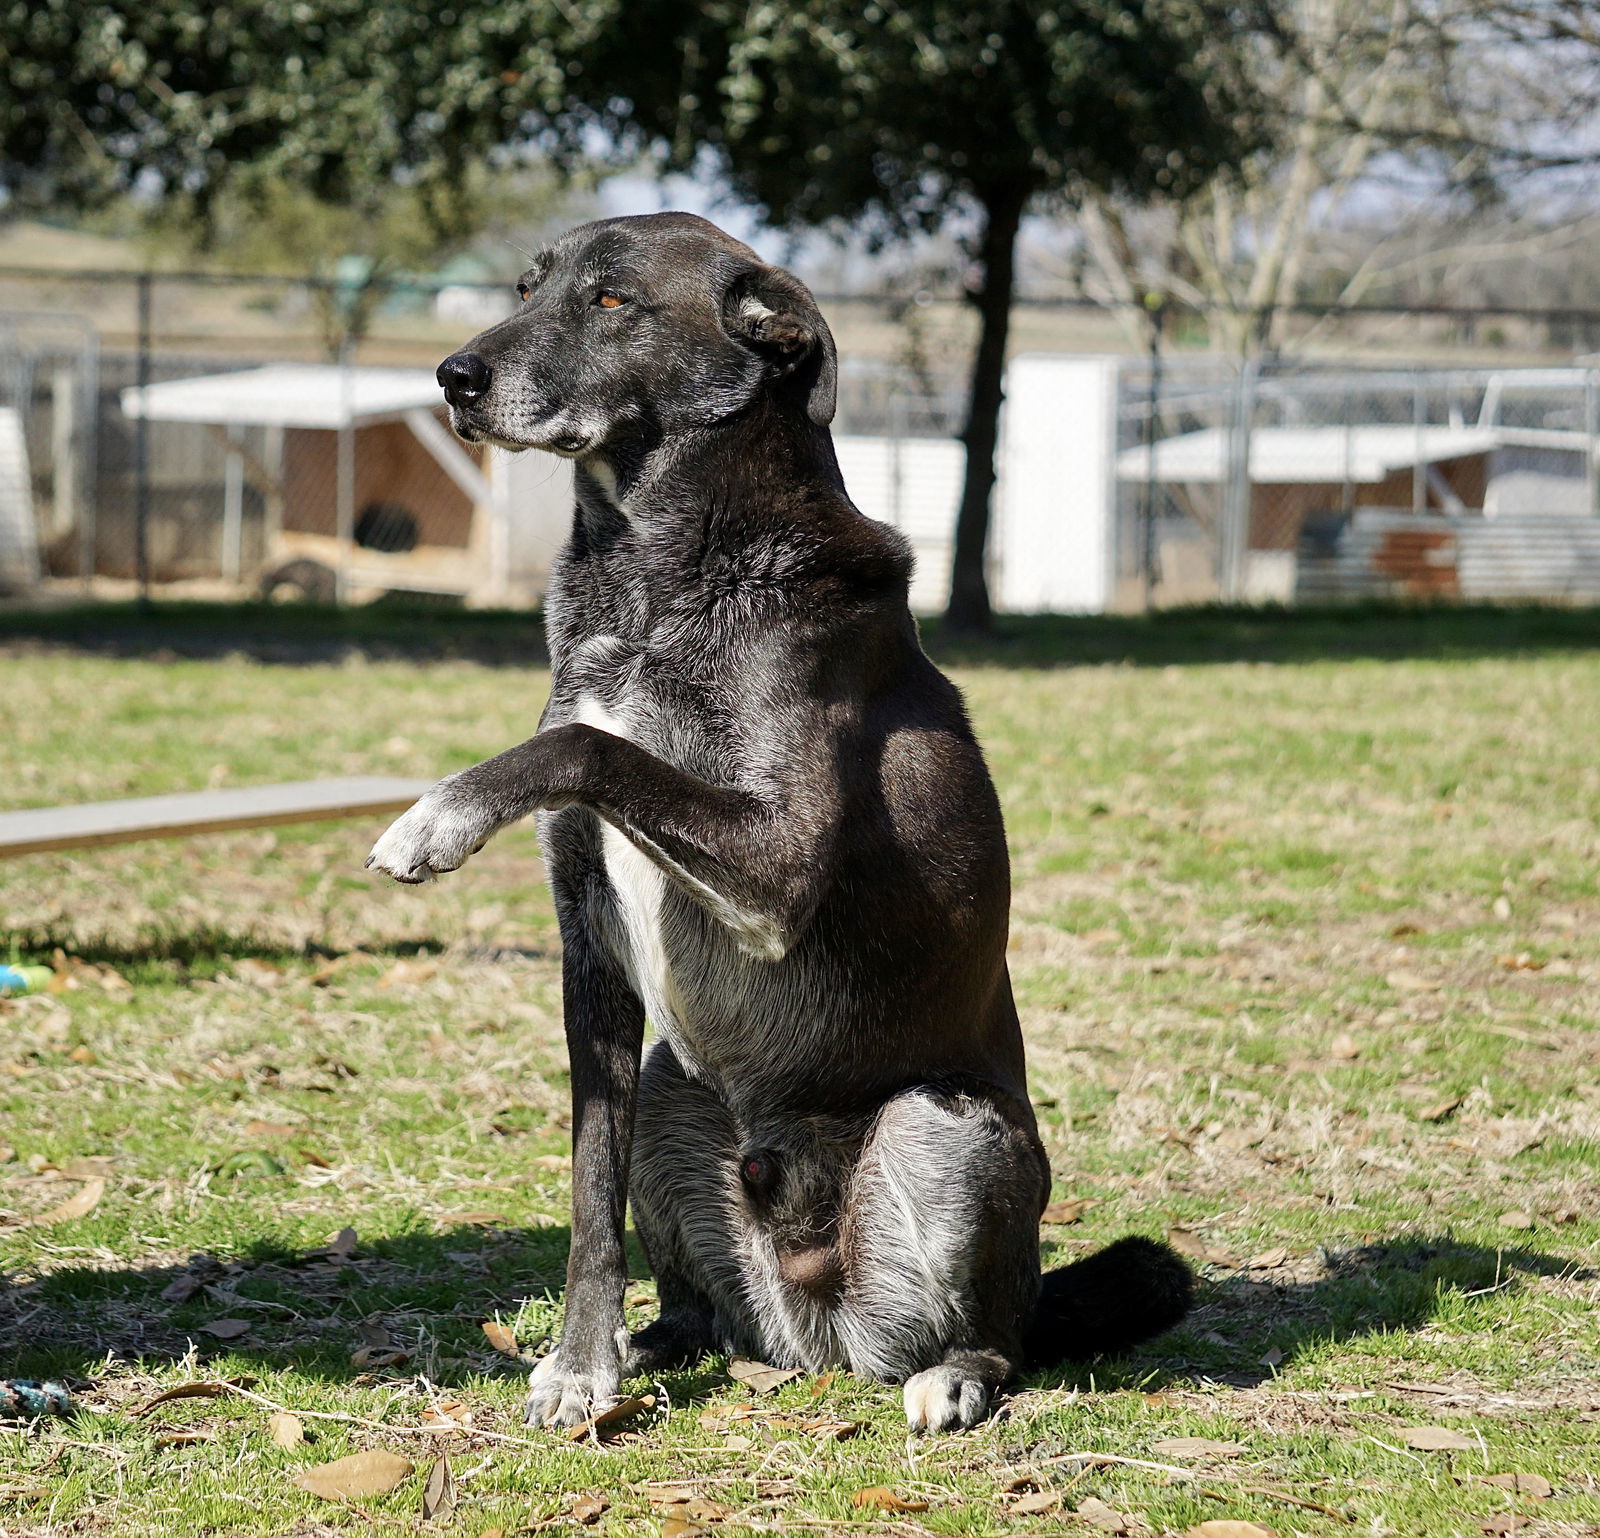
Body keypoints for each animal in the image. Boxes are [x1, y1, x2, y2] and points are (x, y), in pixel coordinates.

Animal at [366, 212, 1190, 1427]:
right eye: (526, 287)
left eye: (611, 300)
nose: (453, 377)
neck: (650, 581)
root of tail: (816, 1336)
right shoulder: (589, 947)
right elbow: (587, 1185)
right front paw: (582, 1360)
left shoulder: (779, 865)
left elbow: (590, 745)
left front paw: (439, 814)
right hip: (673, 1086)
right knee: (697, 1288)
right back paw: (663, 1339)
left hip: (947, 1129)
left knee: (1005, 1333)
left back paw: (957, 1373)